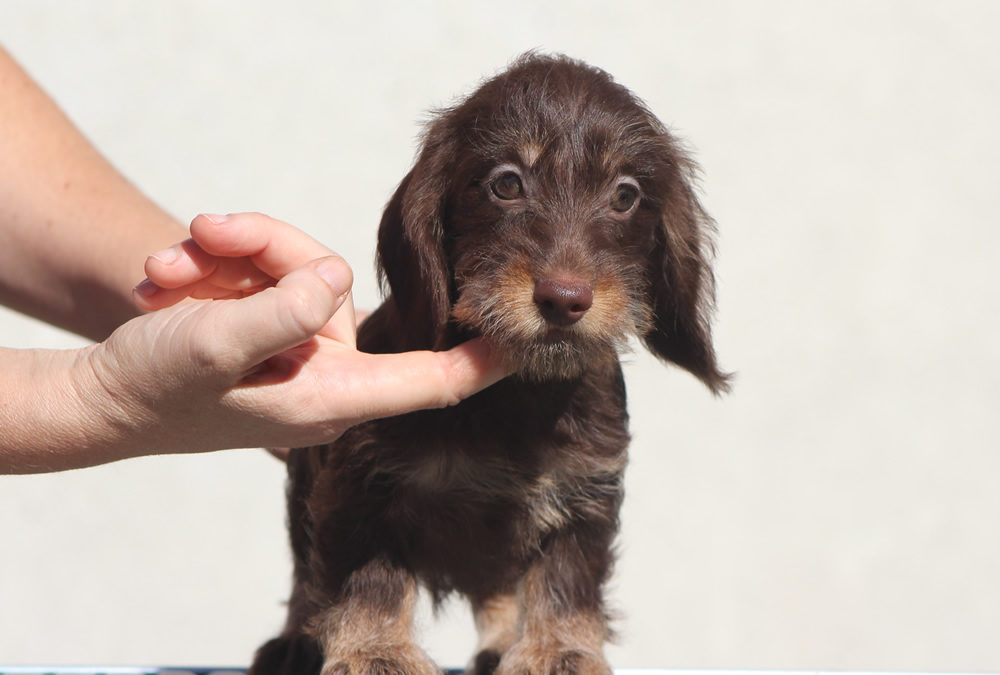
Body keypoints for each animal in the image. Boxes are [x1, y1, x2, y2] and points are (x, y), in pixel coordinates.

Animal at [252, 52, 728, 675]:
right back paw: (292, 640)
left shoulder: (586, 490)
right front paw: (375, 650)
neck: (517, 395)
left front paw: (562, 649)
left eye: (625, 196)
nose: (564, 299)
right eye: (506, 184)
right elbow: (368, 578)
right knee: (305, 576)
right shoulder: (362, 485)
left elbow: (565, 580)